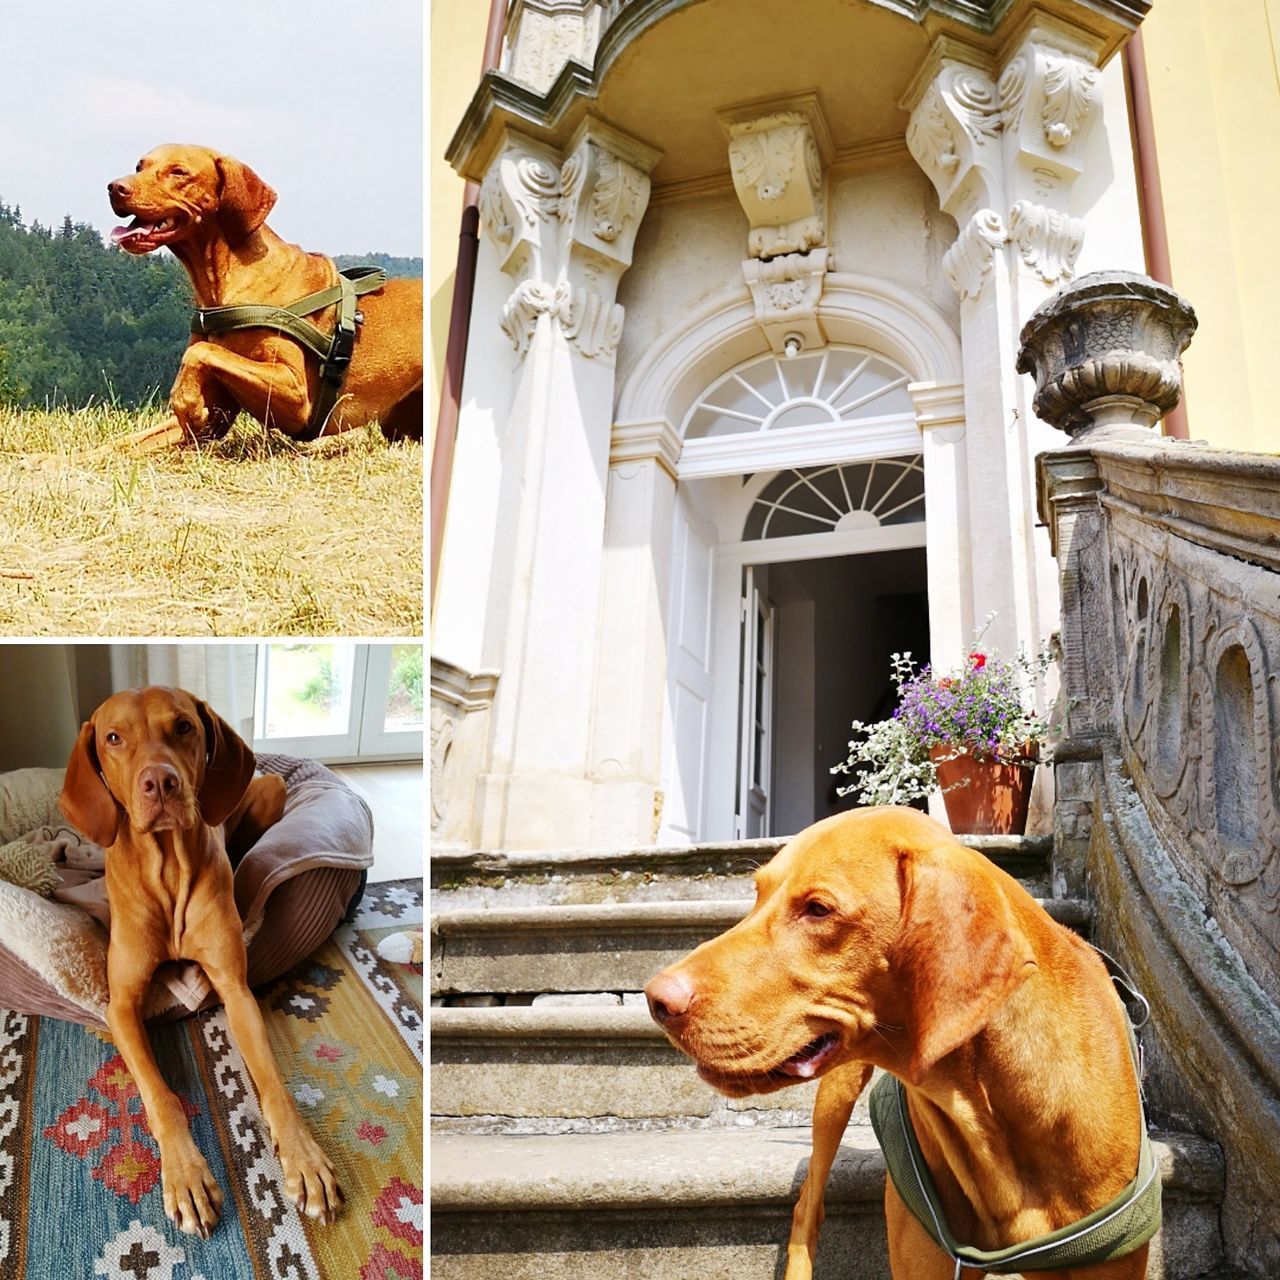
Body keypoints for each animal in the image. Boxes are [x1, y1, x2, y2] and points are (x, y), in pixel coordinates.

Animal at [60, 691, 345, 1239]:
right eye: (113, 737)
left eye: (184, 727)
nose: (160, 781)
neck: (168, 866)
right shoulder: (120, 1006)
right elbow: (162, 1096)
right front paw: (187, 1174)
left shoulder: (235, 989)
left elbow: (274, 1085)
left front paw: (304, 1160)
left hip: (273, 788)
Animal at [106, 143, 424, 453]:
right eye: (140, 166)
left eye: (178, 172)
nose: (114, 187)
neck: (221, 286)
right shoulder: (216, 415)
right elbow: (119, 444)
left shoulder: (295, 396)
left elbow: (200, 352)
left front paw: (187, 403)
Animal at [645, 808, 1157, 1280]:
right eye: (757, 895)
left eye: (818, 909)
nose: (656, 1000)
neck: (994, 1107)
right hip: (834, 1097)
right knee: (808, 1206)